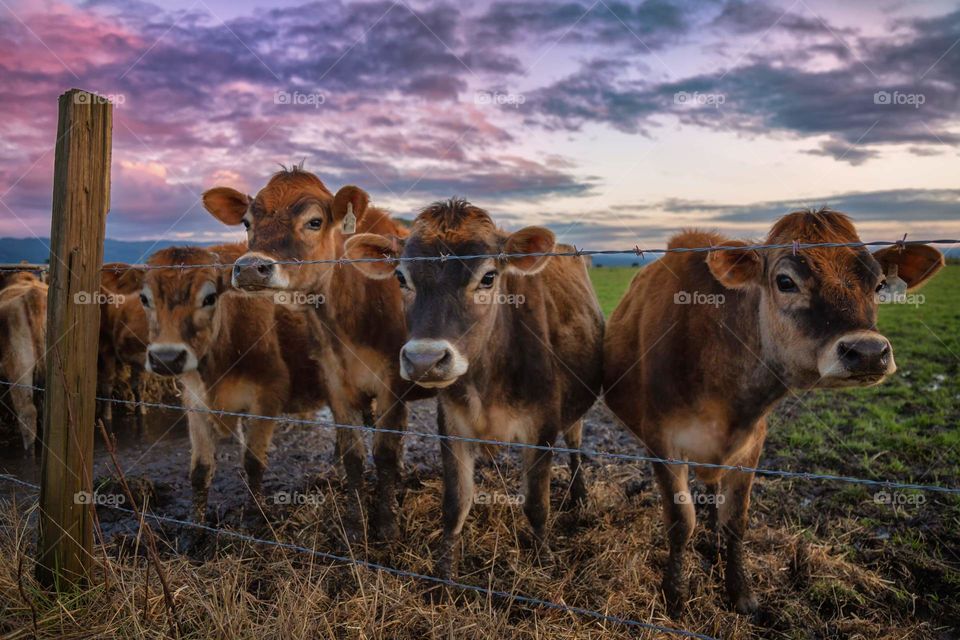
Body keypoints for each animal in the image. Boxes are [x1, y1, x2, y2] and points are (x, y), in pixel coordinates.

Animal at [132, 243, 328, 520]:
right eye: (144, 299)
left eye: (209, 298)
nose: (166, 358)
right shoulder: (194, 401)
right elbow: (200, 470)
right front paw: (196, 523)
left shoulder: (269, 394)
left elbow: (253, 462)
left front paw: (257, 513)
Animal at [202, 167, 428, 540]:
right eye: (247, 222)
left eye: (314, 221)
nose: (249, 268)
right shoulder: (334, 381)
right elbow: (353, 455)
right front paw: (355, 524)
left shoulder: (392, 383)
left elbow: (383, 453)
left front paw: (387, 526)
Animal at [344, 198, 604, 578]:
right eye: (401, 277)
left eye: (488, 277)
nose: (424, 359)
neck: (488, 380)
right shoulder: (452, 425)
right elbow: (456, 503)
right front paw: (444, 573)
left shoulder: (541, 427)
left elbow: (536, 505)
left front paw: (543, 562)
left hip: (574, 411)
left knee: (575, 445)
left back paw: (580, 495)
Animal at [602, 209, 945, 615]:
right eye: (785, 281)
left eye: (878, 284)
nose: (867, 352)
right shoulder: (661, 439)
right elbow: (680, 522)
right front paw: (676, 596)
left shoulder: (752, 442)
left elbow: (736, 519)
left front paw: (741, 591)